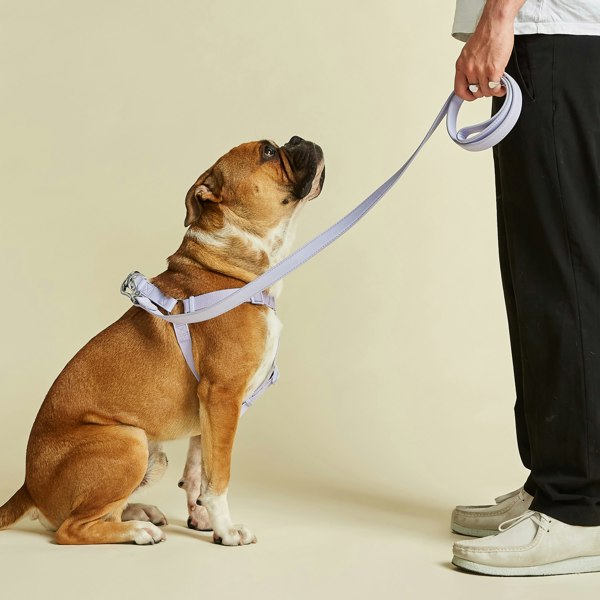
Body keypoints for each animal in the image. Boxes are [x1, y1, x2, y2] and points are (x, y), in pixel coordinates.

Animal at [0, 136, 326, 544]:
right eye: (268, 152)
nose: (300, 139)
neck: (230, 267)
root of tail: (29, 487)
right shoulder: (222, 396)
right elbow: (218, 477)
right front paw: (227, 531)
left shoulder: (210, 411)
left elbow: (198, 472)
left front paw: (203, 519)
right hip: (129, 441)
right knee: (71, 529)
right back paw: (137, 530)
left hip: (152, 454)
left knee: (95, 514)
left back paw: (138, 513)